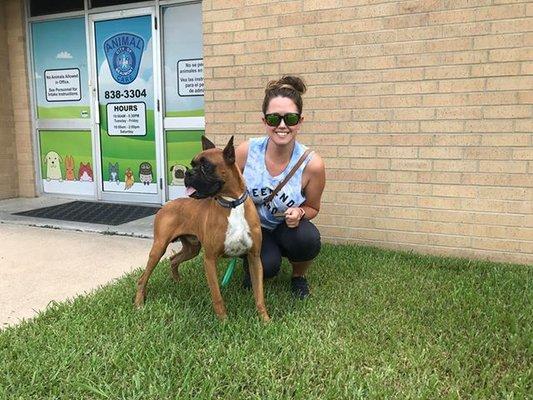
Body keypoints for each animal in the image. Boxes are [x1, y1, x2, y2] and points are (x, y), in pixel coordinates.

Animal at [131, 135, 268, 322]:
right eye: (192, 163)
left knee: (173, 259)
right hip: (158, 248)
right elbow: (217, 295)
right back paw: (139, 303)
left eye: (206, 166)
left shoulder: (254, 258)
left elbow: (259, 294)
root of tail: (166, 205)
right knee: (142, 278)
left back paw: (177, 282)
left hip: (192, 249)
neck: (232, 204)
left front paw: (265, 320)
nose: (188, 173)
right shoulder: (209, 259)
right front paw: (223, 321)